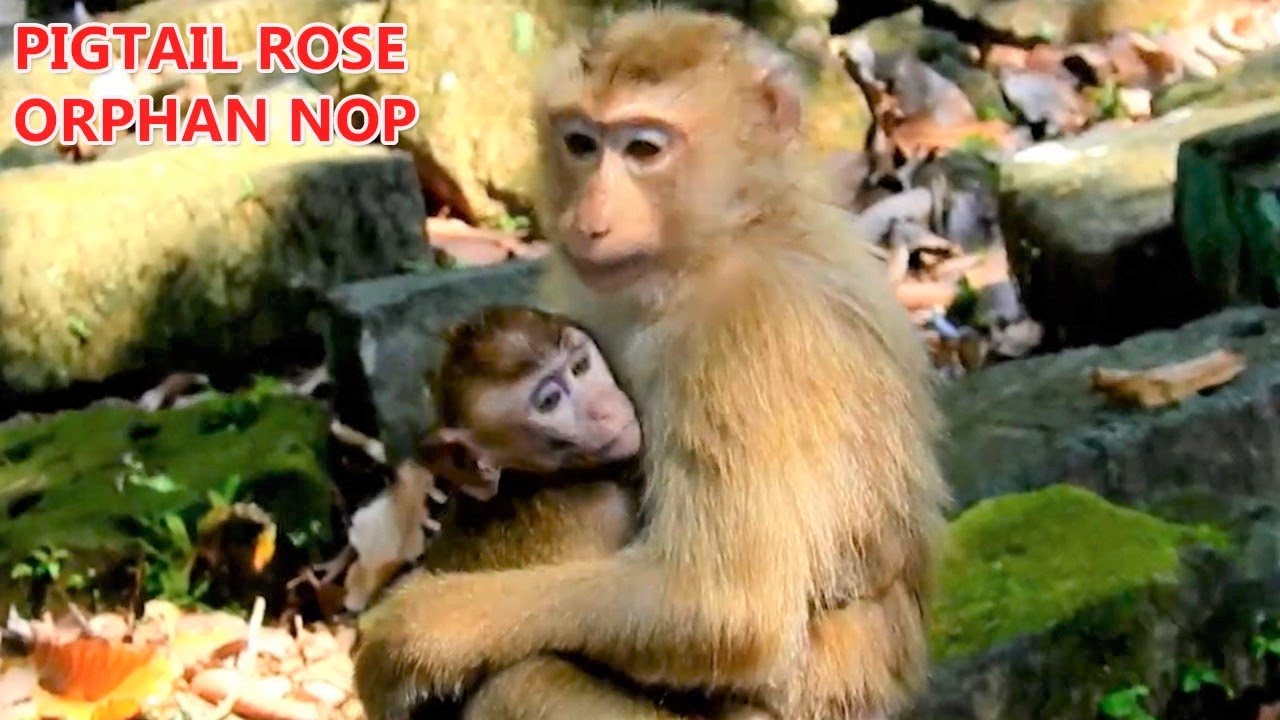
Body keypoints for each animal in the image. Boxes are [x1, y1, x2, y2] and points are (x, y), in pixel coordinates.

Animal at [353, 9, 950, 720]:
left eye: (643, 149)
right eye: (581, 143)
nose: (590, 220)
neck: (718, 242)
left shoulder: (752, 331)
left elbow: (725, 608)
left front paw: (416, 630)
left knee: (522, 681)